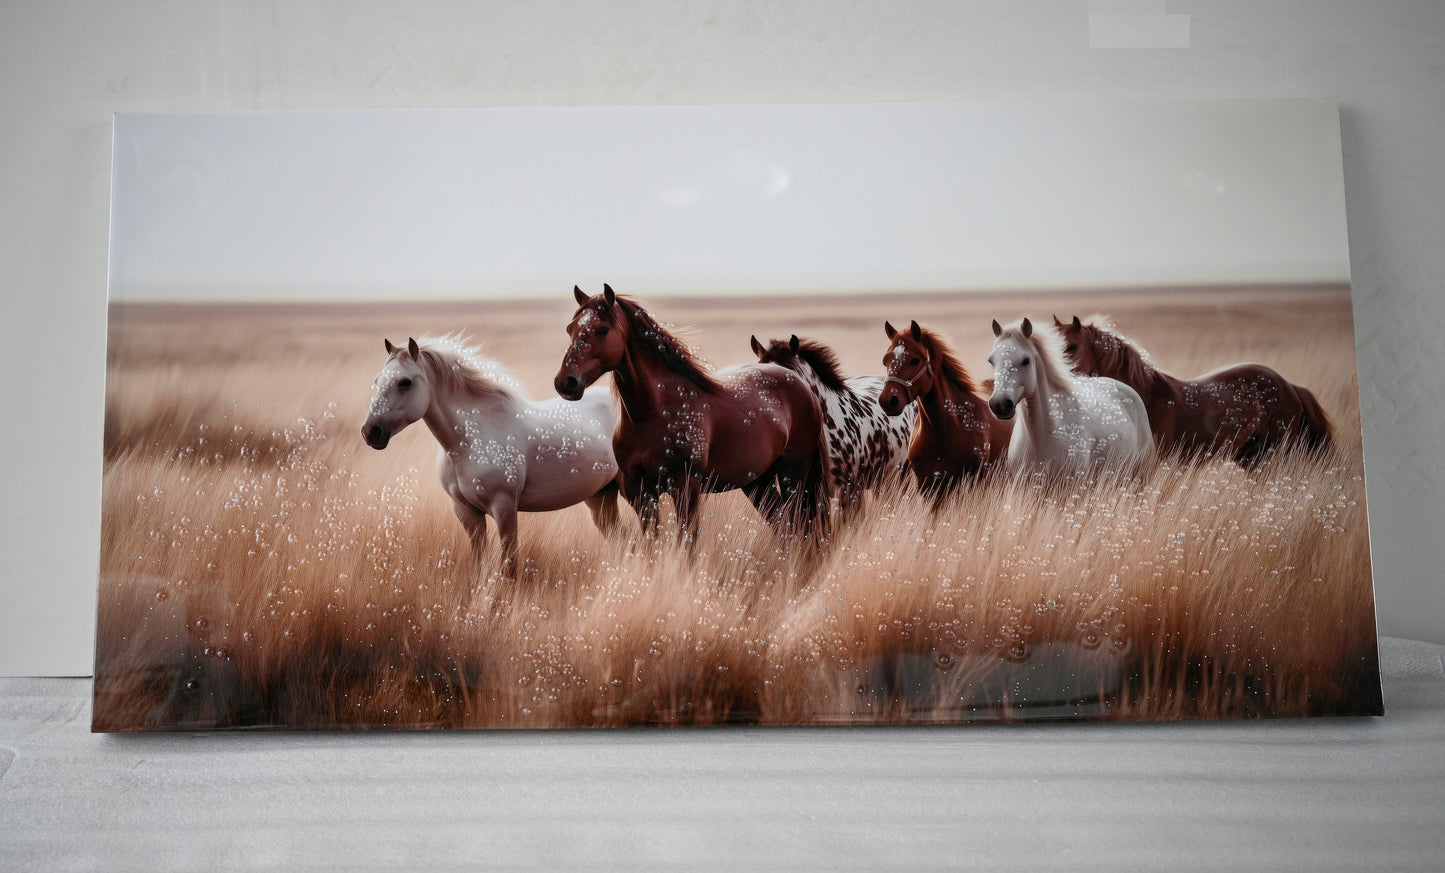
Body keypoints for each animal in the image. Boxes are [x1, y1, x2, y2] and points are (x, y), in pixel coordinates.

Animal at [362, 335, 621, 575]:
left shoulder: (504, 508)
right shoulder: (466, 512)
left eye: (404, 382)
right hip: (600, 497)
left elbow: (510, 565)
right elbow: (479, 561)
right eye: (377, 380)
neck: (468, 442)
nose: (370, 432)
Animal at [554, 285, 831, 542]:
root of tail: (797, 380)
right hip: (758, 481)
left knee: (797, 526)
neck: (652, 414)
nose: (566, 383)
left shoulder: (686, 488)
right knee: (783, 526)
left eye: (602, 330)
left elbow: (687, 544)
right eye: (570, 329)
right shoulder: (640, 493)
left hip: (793, 475)